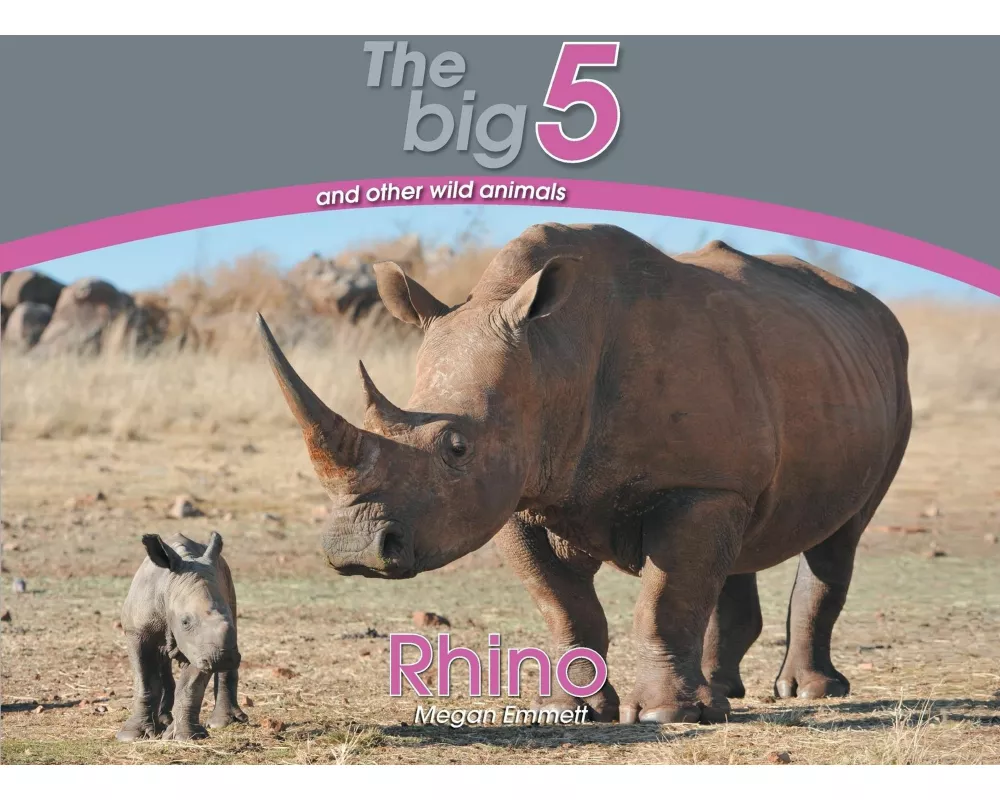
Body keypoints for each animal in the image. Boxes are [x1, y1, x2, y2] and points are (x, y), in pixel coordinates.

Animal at [117, 532, 247, 741]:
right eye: (185, 621)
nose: (224, 658)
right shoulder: (136, 632)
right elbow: (144, 681)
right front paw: (132, 735)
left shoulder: (200, 647)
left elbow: (190, 687)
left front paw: (186, 736)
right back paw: (163, 721)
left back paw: (218, 723)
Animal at [258, 223, 912, 724]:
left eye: (457, 447)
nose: (355, 550)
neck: (553, 354)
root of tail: (872, 308)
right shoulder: (519, 493)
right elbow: (564, 604)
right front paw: (568, 710)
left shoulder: (694, 484)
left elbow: (665, 598)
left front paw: (667, 715)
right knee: (738, 543)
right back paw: (724, 692)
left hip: (890, 378)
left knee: (839, 538)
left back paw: (807, 691)